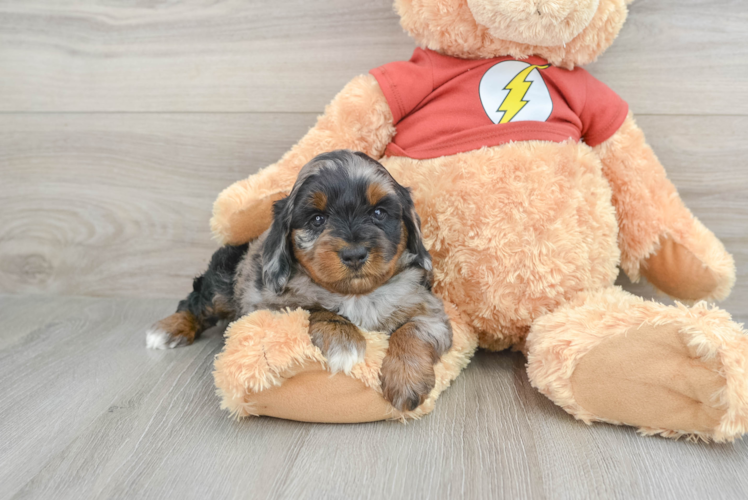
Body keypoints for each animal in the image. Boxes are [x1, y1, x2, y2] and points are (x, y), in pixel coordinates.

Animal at [145, 150, 450, 412]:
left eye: (378, 213)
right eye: (317, 219)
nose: (354, 254)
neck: (356, 295)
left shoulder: (429, 310)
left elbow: (412, 331)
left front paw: (406, 380)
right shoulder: (270, 307)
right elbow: (315, 308)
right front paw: (343, 341)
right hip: (220, 285)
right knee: (194, 301)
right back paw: (167, 329)